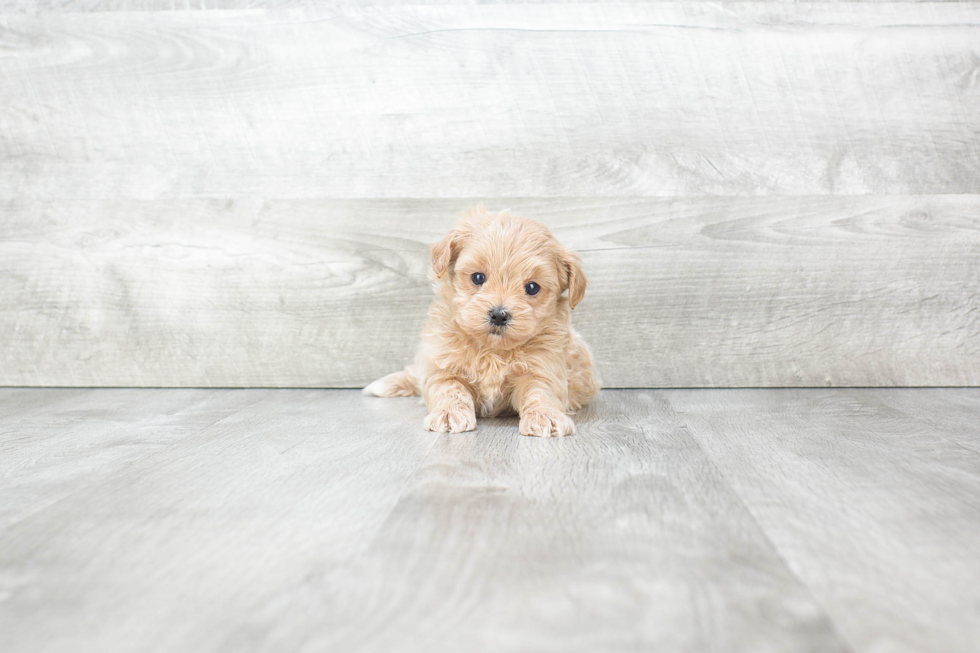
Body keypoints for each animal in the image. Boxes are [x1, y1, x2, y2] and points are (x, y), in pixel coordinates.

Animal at [366, 208, 600, 438]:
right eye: (478, 277)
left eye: (532, 287)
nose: (499, 315)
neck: (491, 349)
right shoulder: (441, 363)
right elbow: (448, 388)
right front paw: (449, 413)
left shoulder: (542, 366)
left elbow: (540, 392)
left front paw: (545, 415)